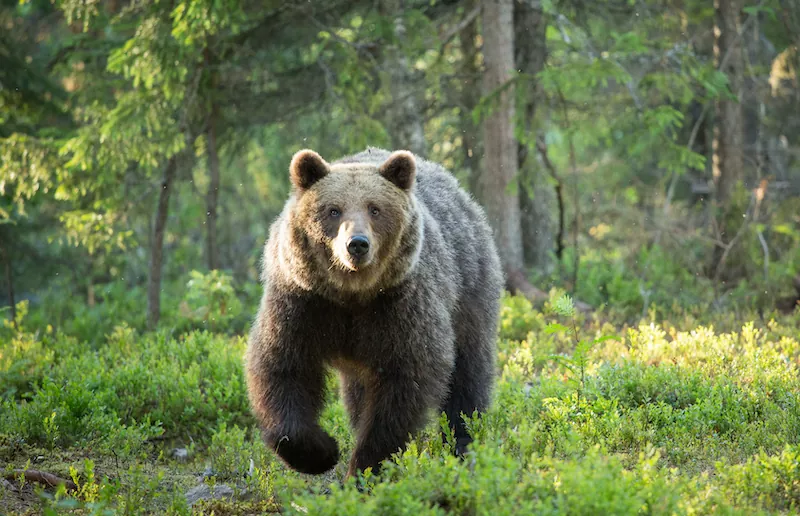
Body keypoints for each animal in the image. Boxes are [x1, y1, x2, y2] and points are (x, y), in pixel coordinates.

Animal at [247, 147, 504, 478]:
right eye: (333, 210)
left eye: (375, 209)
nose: (357, 244)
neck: (351, 294)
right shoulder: (302, 303)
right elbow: (282, 367)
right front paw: (322, 452)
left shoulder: (400, 306)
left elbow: (404, 384)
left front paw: (365, 466)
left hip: (468, 288)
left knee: (468, 371)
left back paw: (464, 441)